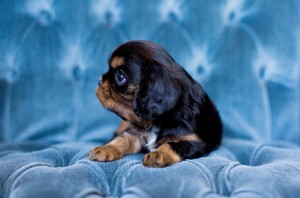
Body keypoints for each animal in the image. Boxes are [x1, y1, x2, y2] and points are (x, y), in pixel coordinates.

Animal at [88, 40, 221, 167]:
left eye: (120, 76)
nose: (99, 81)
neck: (156, 121)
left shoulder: (195, 142)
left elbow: (172, 144)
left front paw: (159, 154)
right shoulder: (135, 132)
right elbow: (123, 138)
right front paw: (106, 148)